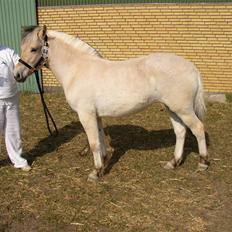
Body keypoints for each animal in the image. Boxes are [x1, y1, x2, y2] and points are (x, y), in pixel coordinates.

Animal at [13, 26, 208, 180]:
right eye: (22, 48)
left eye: (33, 49)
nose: (17, 75)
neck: (77, 69)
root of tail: (192, 67)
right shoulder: (96, 115)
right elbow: (100, 139)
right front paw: (104, 161)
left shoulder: (86, 114)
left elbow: (93, 143)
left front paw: (95, 172)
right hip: (172, 108)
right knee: (181, 131)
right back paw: (173, 163)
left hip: (183, 109)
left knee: (198, 129)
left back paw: (203, 163)